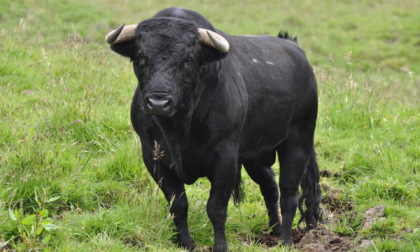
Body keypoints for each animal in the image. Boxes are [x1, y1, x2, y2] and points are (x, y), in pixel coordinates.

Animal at [107, 6, 322, 251]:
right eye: (141, 56)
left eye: (189, 59)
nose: (159, 103)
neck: (178, 128)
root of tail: (293, 46)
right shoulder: (153, 157)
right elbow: (178, 204)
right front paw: (185, 243)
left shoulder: (225, 158)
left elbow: (216, 208)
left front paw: (220, 246)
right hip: (254, 153)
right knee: (269, 185)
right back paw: (274, 231)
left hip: (298, 141)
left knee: (289, 193)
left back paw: (284, 240)